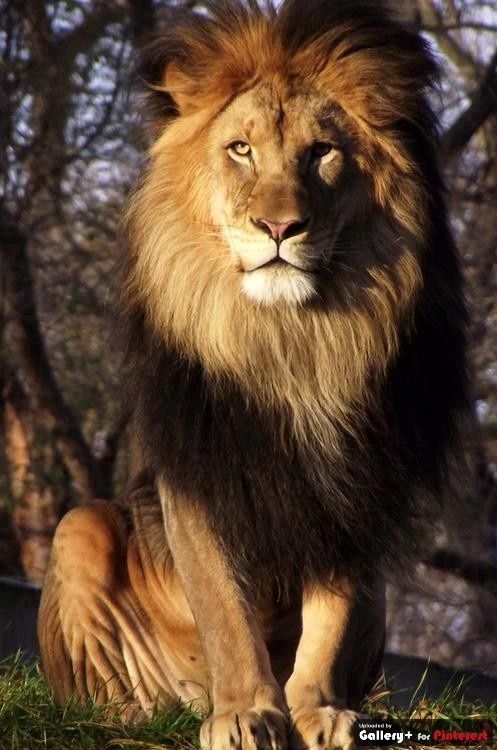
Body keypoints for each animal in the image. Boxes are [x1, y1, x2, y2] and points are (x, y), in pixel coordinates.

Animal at [38, 2, 468, 749]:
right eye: (240, 150)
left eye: (321, 152)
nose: (278, 226)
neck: (286, 340)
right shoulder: (198, 469)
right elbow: (223, 607)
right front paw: (243, 712)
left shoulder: (355, 481)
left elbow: (330, 615)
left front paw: (317, 710)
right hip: (81, 525)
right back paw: (140, 713)